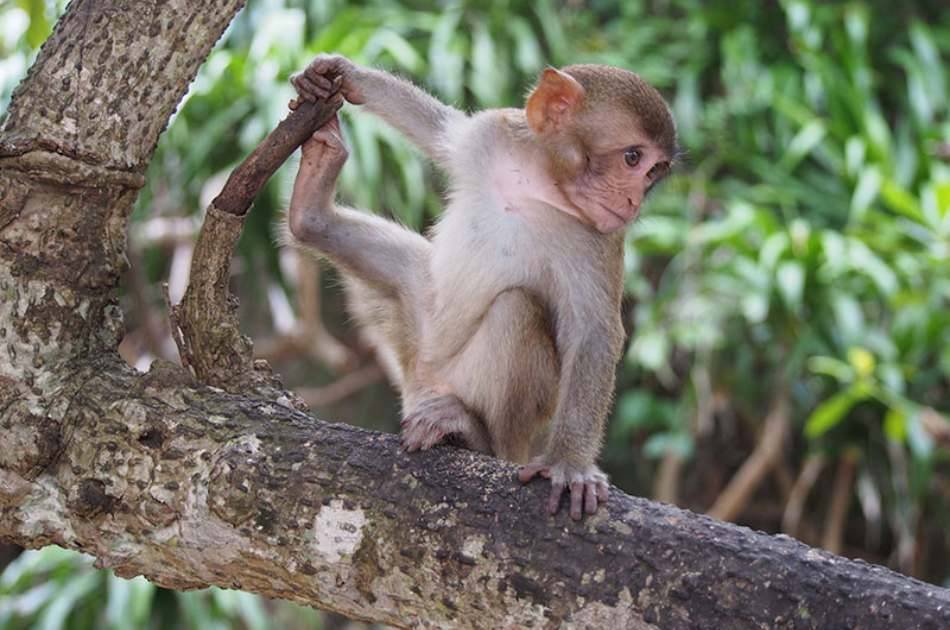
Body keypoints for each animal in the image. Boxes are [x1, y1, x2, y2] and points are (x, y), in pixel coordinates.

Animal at [284, 55, 676, 520]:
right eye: (633, 158)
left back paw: (475, 437)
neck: (540, 186)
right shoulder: (492, 136)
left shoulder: (599, 239)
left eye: (652, 173)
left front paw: (569, 464)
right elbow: (439, 130)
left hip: (490, 409)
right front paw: (346, 75)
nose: (633, 201)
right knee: (413, 273)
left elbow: (593, 331)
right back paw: (311, 214)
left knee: (515, 308)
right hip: (419, 351)